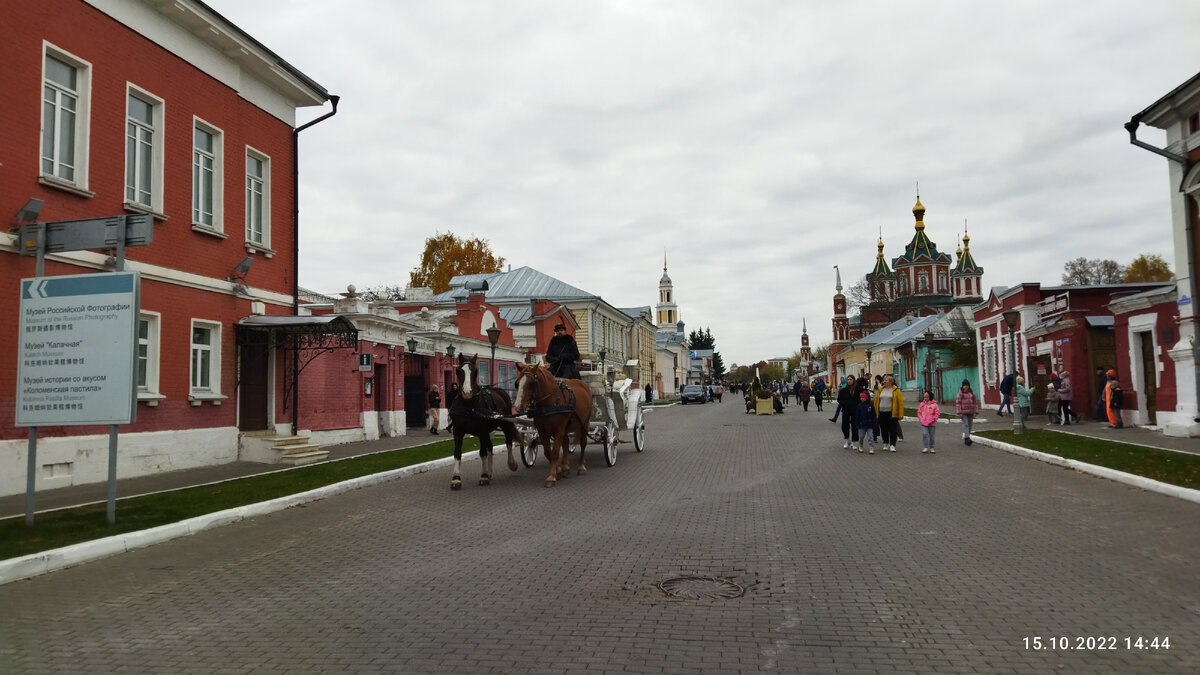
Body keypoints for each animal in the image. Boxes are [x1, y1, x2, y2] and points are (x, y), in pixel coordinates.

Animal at [448, 353, 523, 487]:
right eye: (458, 371)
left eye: (475, 372)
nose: (467, 392)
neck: (468, 406)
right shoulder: (458, 430)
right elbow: (457, 452)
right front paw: (456, 478)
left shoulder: (481, 430)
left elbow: (482, 452)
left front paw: (483, 476)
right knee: (490, 446)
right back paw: (490, 472)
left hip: (505, 423)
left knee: (508, 442)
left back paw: (511, 464)